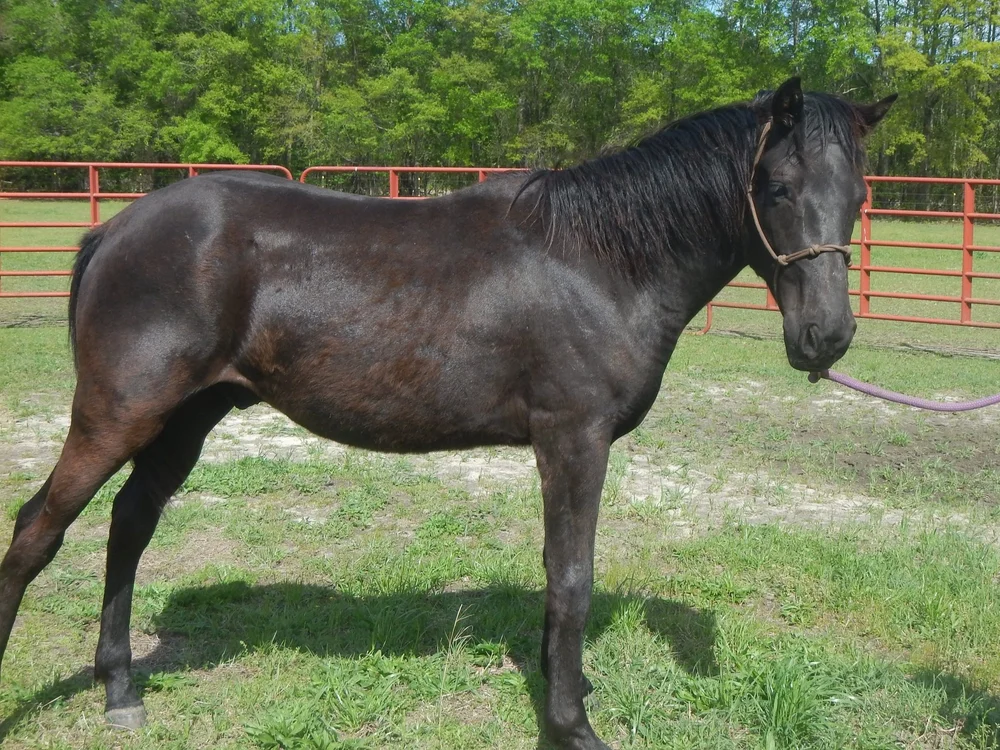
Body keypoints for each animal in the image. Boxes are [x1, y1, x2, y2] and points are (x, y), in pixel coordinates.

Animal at [0, 78, 894, 749]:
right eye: (777, 188)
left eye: (857, 194)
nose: (826, 337)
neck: (600, 260)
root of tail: (115, 230)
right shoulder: (574, 439)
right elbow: (572, 576)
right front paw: (571, 725)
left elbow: (555, 573)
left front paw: (563, 685)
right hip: (120, 414)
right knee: (38, 530)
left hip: (187, 417)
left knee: (129, 523)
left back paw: (120, 688)